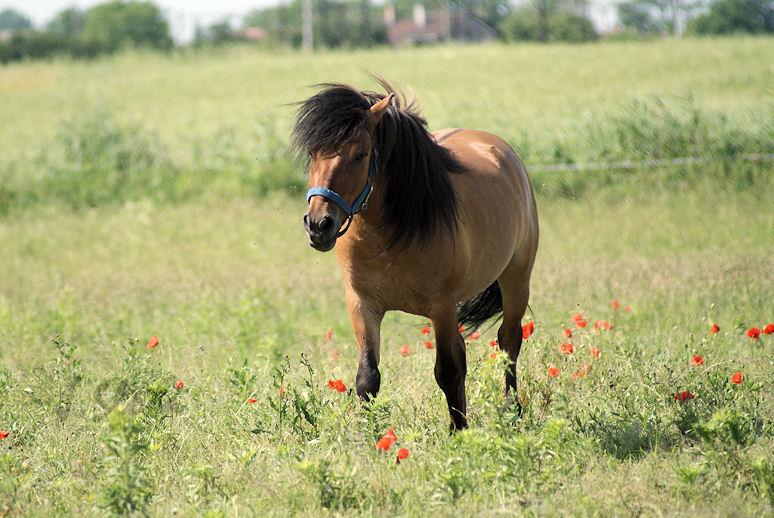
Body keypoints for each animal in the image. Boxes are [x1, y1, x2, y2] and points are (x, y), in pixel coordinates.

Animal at [294, 81, 544, 430]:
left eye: (360, 154)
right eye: (313, 153)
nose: (319, 224)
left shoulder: (441, 306)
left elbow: (448, 371)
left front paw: (459, 432)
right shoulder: (362, 304)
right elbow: (368, 378)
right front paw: (371, 435)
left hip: (516, 278)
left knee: (508, 342)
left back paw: (511, 411)